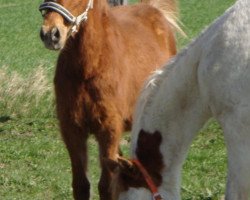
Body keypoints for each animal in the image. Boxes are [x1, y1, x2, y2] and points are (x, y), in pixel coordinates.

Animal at [38, 0, 180, 198]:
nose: (50, 34)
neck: (88, 68)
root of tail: (154, 10)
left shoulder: (108, 129)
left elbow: (106, 186)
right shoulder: (72, 130)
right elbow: (81, 185)